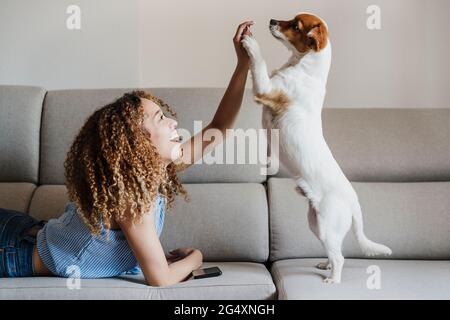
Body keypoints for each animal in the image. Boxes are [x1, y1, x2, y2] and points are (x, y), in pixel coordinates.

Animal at [241, 13, 392, 282]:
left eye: (295, 25)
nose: (272, 20)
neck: (305, 69)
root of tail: (353, 200)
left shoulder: (265, 88)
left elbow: (258, 62)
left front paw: (250, 42)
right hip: (316, 225)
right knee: (334, 252)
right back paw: (325, 264)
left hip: (325, 226)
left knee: (340, 257)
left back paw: (333, 278)